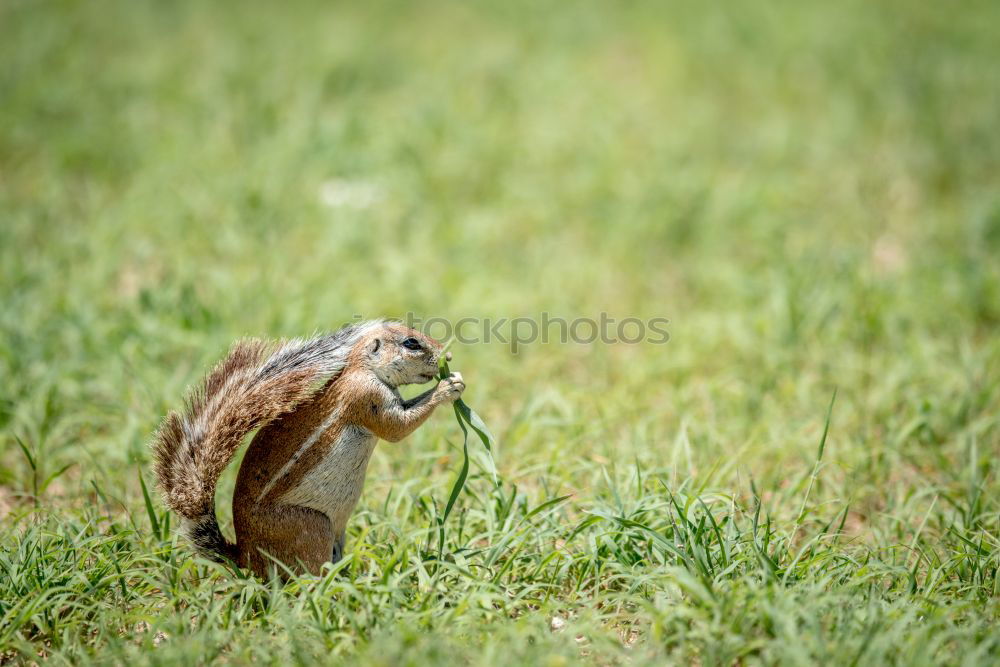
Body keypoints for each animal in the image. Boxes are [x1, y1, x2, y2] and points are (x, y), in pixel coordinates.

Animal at [150, 320, 462, 576]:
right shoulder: (367, 398)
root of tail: (246, 557)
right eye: (411, 343)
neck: (361, 368)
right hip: (312, 527)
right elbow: (397, 428)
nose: (446, 356)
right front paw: (448, 387)